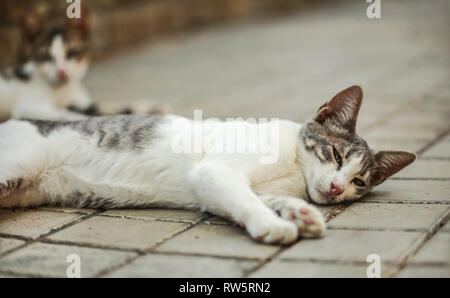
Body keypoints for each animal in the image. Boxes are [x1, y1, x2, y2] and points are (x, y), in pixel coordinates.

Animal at [0, 86, 416, 244]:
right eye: (336, 155)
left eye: (359, 182)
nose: (336, 187)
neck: (293, 172)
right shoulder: (215, 173)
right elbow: (247, 201)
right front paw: (273, 225)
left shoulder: (219, 188)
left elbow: (258, 198)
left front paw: (297, 213)